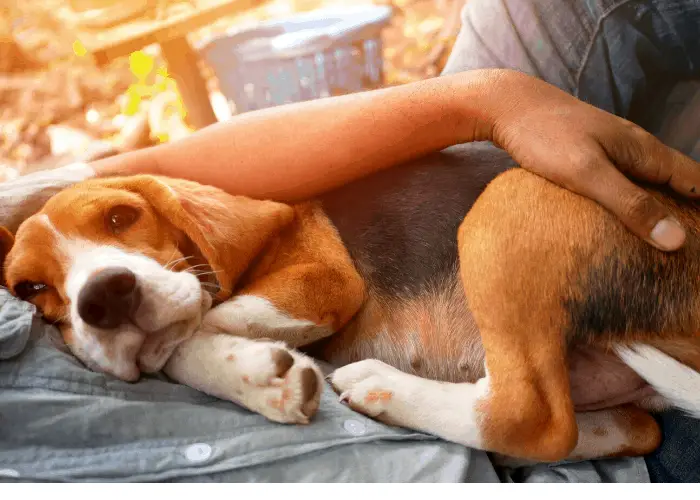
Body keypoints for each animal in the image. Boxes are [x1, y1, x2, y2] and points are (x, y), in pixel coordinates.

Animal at [1, 146, 700, 464]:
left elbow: (185, 333)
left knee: (531, 417)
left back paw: (384, 390)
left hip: (510, 196)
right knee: (615, 428)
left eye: (123, 216)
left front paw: (252, 370)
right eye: (29, 288)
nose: (103, 297)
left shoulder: (324, 281)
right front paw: (260, 379)